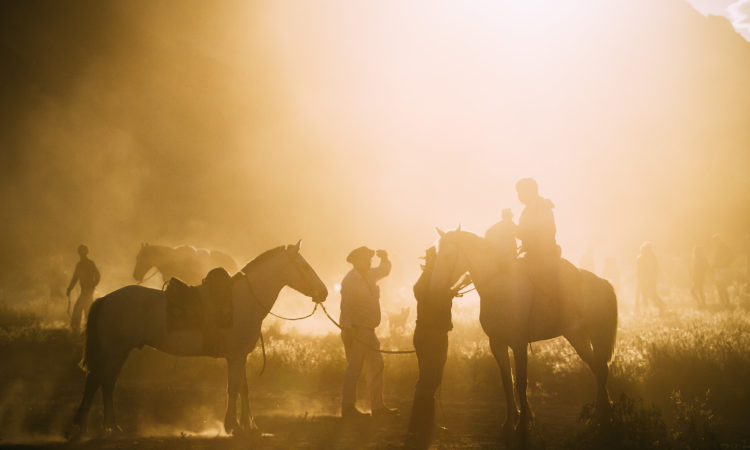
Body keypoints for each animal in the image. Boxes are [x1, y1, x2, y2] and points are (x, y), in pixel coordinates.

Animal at [68, 241, 328, 442]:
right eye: (303, 266)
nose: (324, 292)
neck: (242, 301)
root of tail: (105, 299)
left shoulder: (241, 356)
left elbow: (243, 388)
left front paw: (249, 426)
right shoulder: (235, 356)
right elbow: (233, 388)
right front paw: (232, 426)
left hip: (118, 350)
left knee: (106, 382)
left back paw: (109, 426)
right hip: (115, 349)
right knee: (99, 381)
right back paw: (88, 427)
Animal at [428, 229, 616, 436]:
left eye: (447, 256)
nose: (434, 289)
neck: (500, 288)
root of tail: (603, 283)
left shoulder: (519, 344)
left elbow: (520, 382)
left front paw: (524, 422)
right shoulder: (497, 343)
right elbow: (507, 382)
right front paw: (509, 422)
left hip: (597, 334)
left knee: (601, 368)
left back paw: (603, 417)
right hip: (577, 336)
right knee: (597, 368)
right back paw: (600, 416)